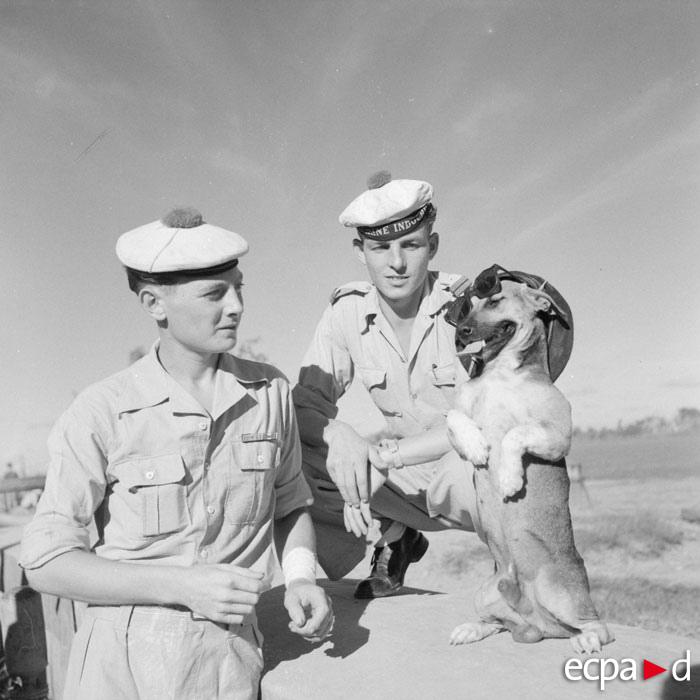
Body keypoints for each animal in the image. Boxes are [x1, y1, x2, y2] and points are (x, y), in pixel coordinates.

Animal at [442, 266, 612, 652]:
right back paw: (472, 628)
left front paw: (508, 478)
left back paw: (586, 640)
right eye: (466, 309)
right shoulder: (459, 417)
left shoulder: (557, 434)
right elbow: (455, 418)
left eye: (494, 301)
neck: (500, 374)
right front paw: (477, 446)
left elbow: (514, 434)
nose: (461, 333)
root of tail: (538, 622)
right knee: (500, 623)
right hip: (484, 593)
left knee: (596, 626)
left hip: (559, 593)